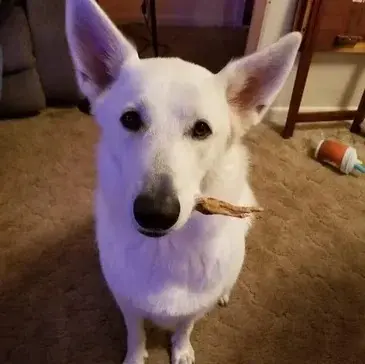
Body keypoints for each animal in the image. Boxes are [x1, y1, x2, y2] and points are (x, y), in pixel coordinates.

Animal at [65, 1, 302, 362]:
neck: (167, 250)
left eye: (201, 129)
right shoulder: (126, 303)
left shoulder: (194, 309)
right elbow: (135, 333)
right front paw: (136, 356)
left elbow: (185, 326)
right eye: (130, 119)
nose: (155, 213)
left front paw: (181, 349)